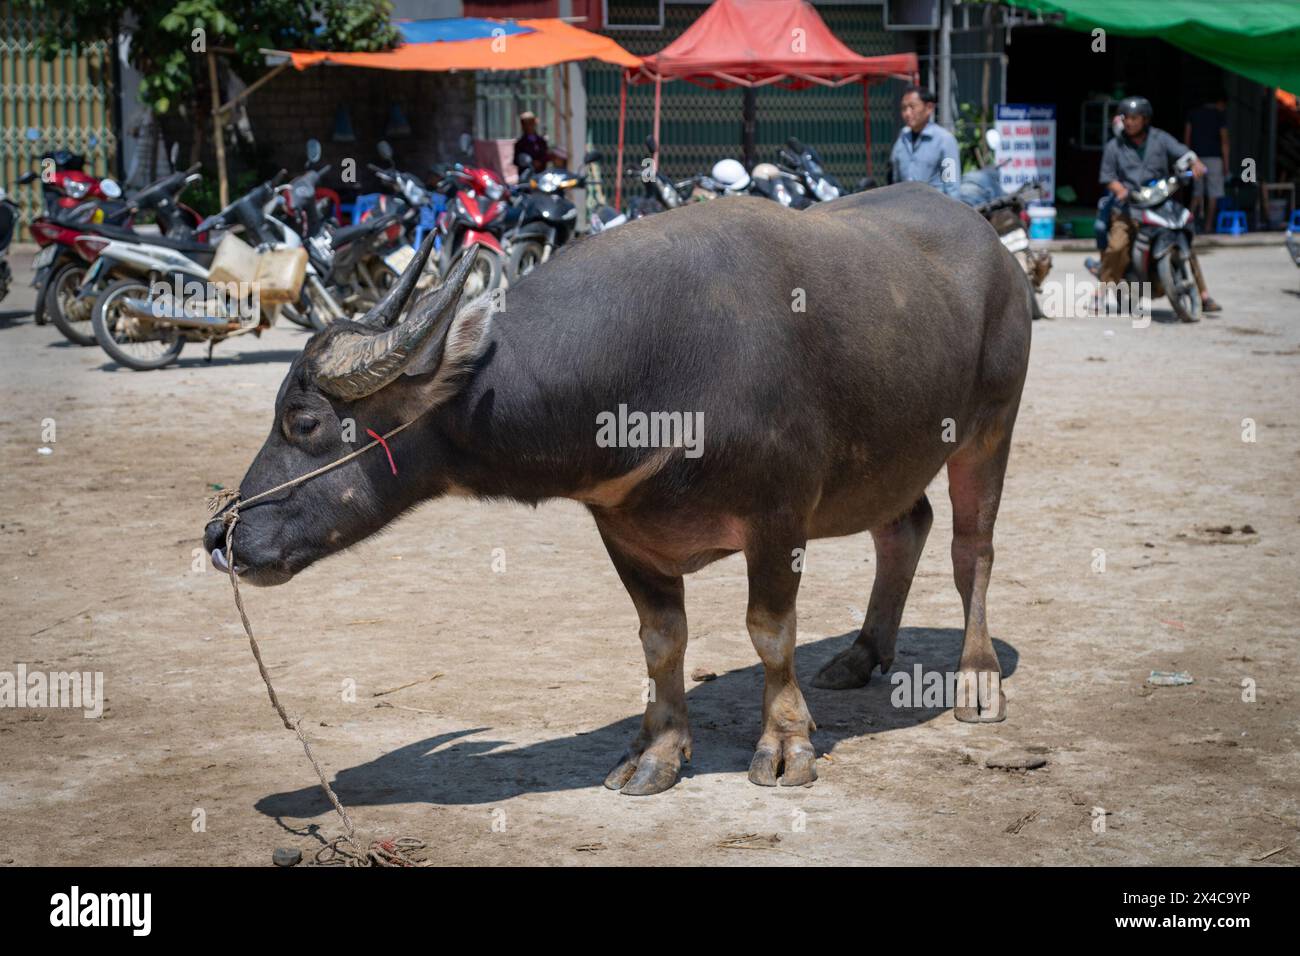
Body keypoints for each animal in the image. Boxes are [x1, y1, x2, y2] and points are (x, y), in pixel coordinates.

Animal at [208, 183, 1029, 796]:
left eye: (304, 421)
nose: (223, 536)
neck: (649, 370)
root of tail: (992, 244)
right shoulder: (621, 528)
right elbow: (661, 639)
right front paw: (658, 752)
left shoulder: (778, 518)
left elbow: (769, 632)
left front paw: (786, 744)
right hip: (892, 458)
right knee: (904, 527)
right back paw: (862, 654)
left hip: (989, 428)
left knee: (972, 549)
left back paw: (977, 680)